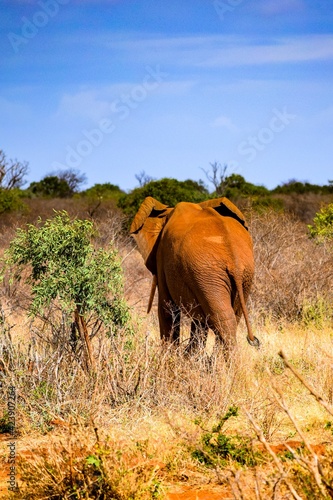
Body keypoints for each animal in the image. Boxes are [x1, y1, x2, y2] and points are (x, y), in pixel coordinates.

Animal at [130, 195, 260, 356]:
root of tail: (233, 257)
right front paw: (188, 357)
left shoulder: (162, 257)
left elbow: (166, 308)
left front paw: (171, 358)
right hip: (238, 275)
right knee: (231, 317)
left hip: (208, 273)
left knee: (221, 318)